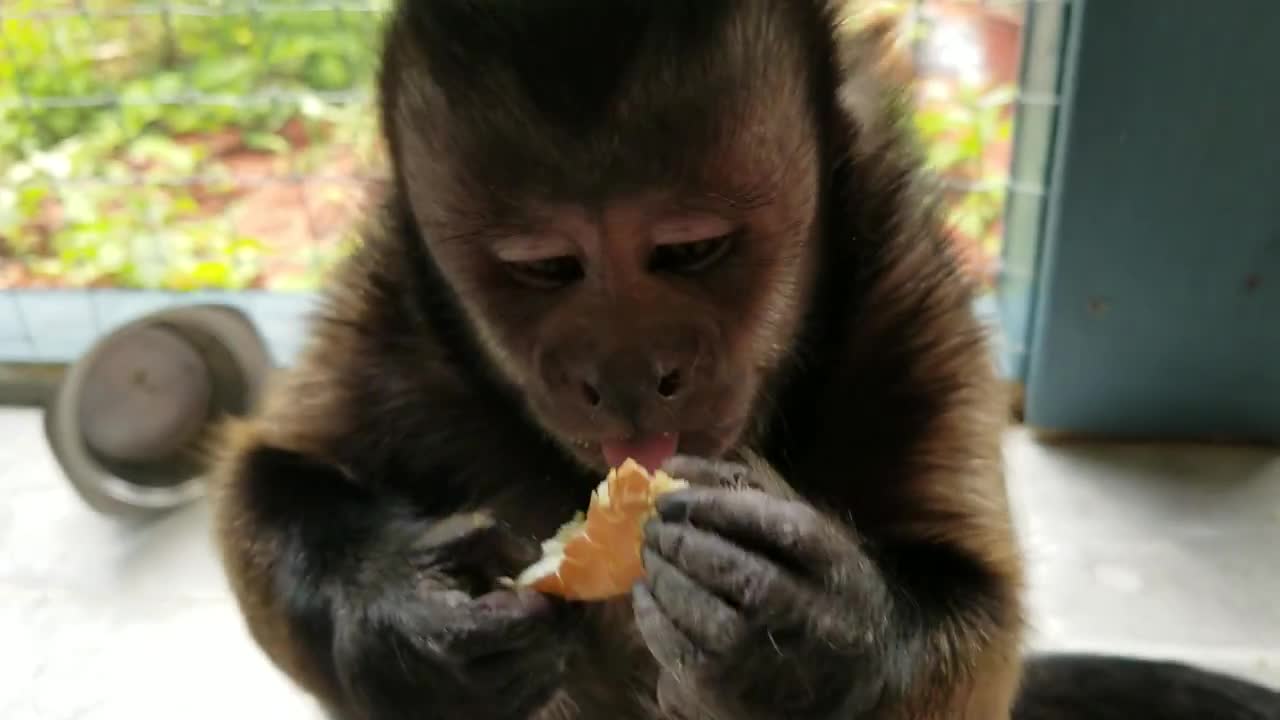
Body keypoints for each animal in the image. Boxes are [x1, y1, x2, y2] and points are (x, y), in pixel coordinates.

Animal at [207, 1, 1280, 717]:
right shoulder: (396, 296)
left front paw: (806, 637)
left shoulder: (908, 288)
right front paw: (397, 608)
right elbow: (264, 477)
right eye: (545, 267)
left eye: (690, 251)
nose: (627, 372)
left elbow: (982, 618)